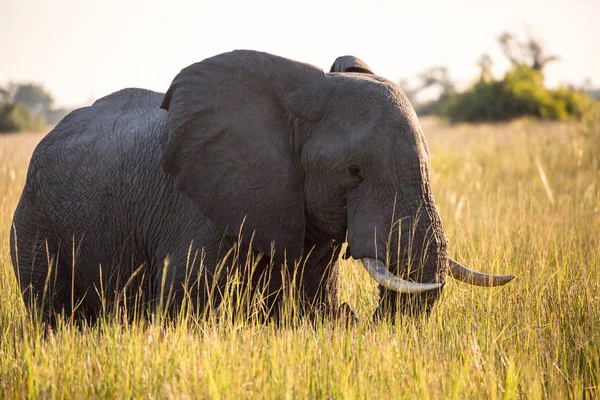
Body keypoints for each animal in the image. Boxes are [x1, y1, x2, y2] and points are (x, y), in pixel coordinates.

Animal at [9, 50, 516, 324]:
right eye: (354, 172)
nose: (357, 315)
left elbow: (309, 301)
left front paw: (329, 317)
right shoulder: (196, 205)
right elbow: (187, 306)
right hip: (33, 225)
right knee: (48, 310)